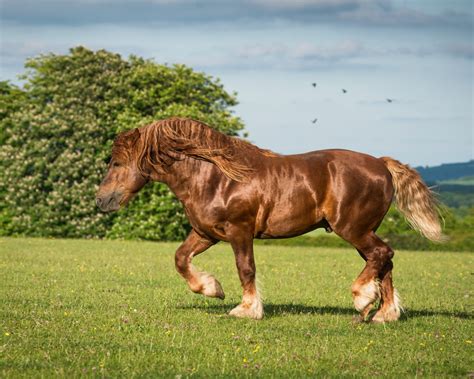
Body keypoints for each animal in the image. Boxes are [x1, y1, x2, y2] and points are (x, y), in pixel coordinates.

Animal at [96, 117, 444, 322]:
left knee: (383, 255)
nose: (101, 200)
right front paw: (212, 288)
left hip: (353, 229)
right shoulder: (206, 233)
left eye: (117, 163)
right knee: (383, 261)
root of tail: (382, 165)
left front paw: (246, 309)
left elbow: (246, 268)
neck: (215, 176)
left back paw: (363, 300)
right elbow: (181, 259)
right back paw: (384, 313)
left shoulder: (239, 231)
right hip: (363, 231)